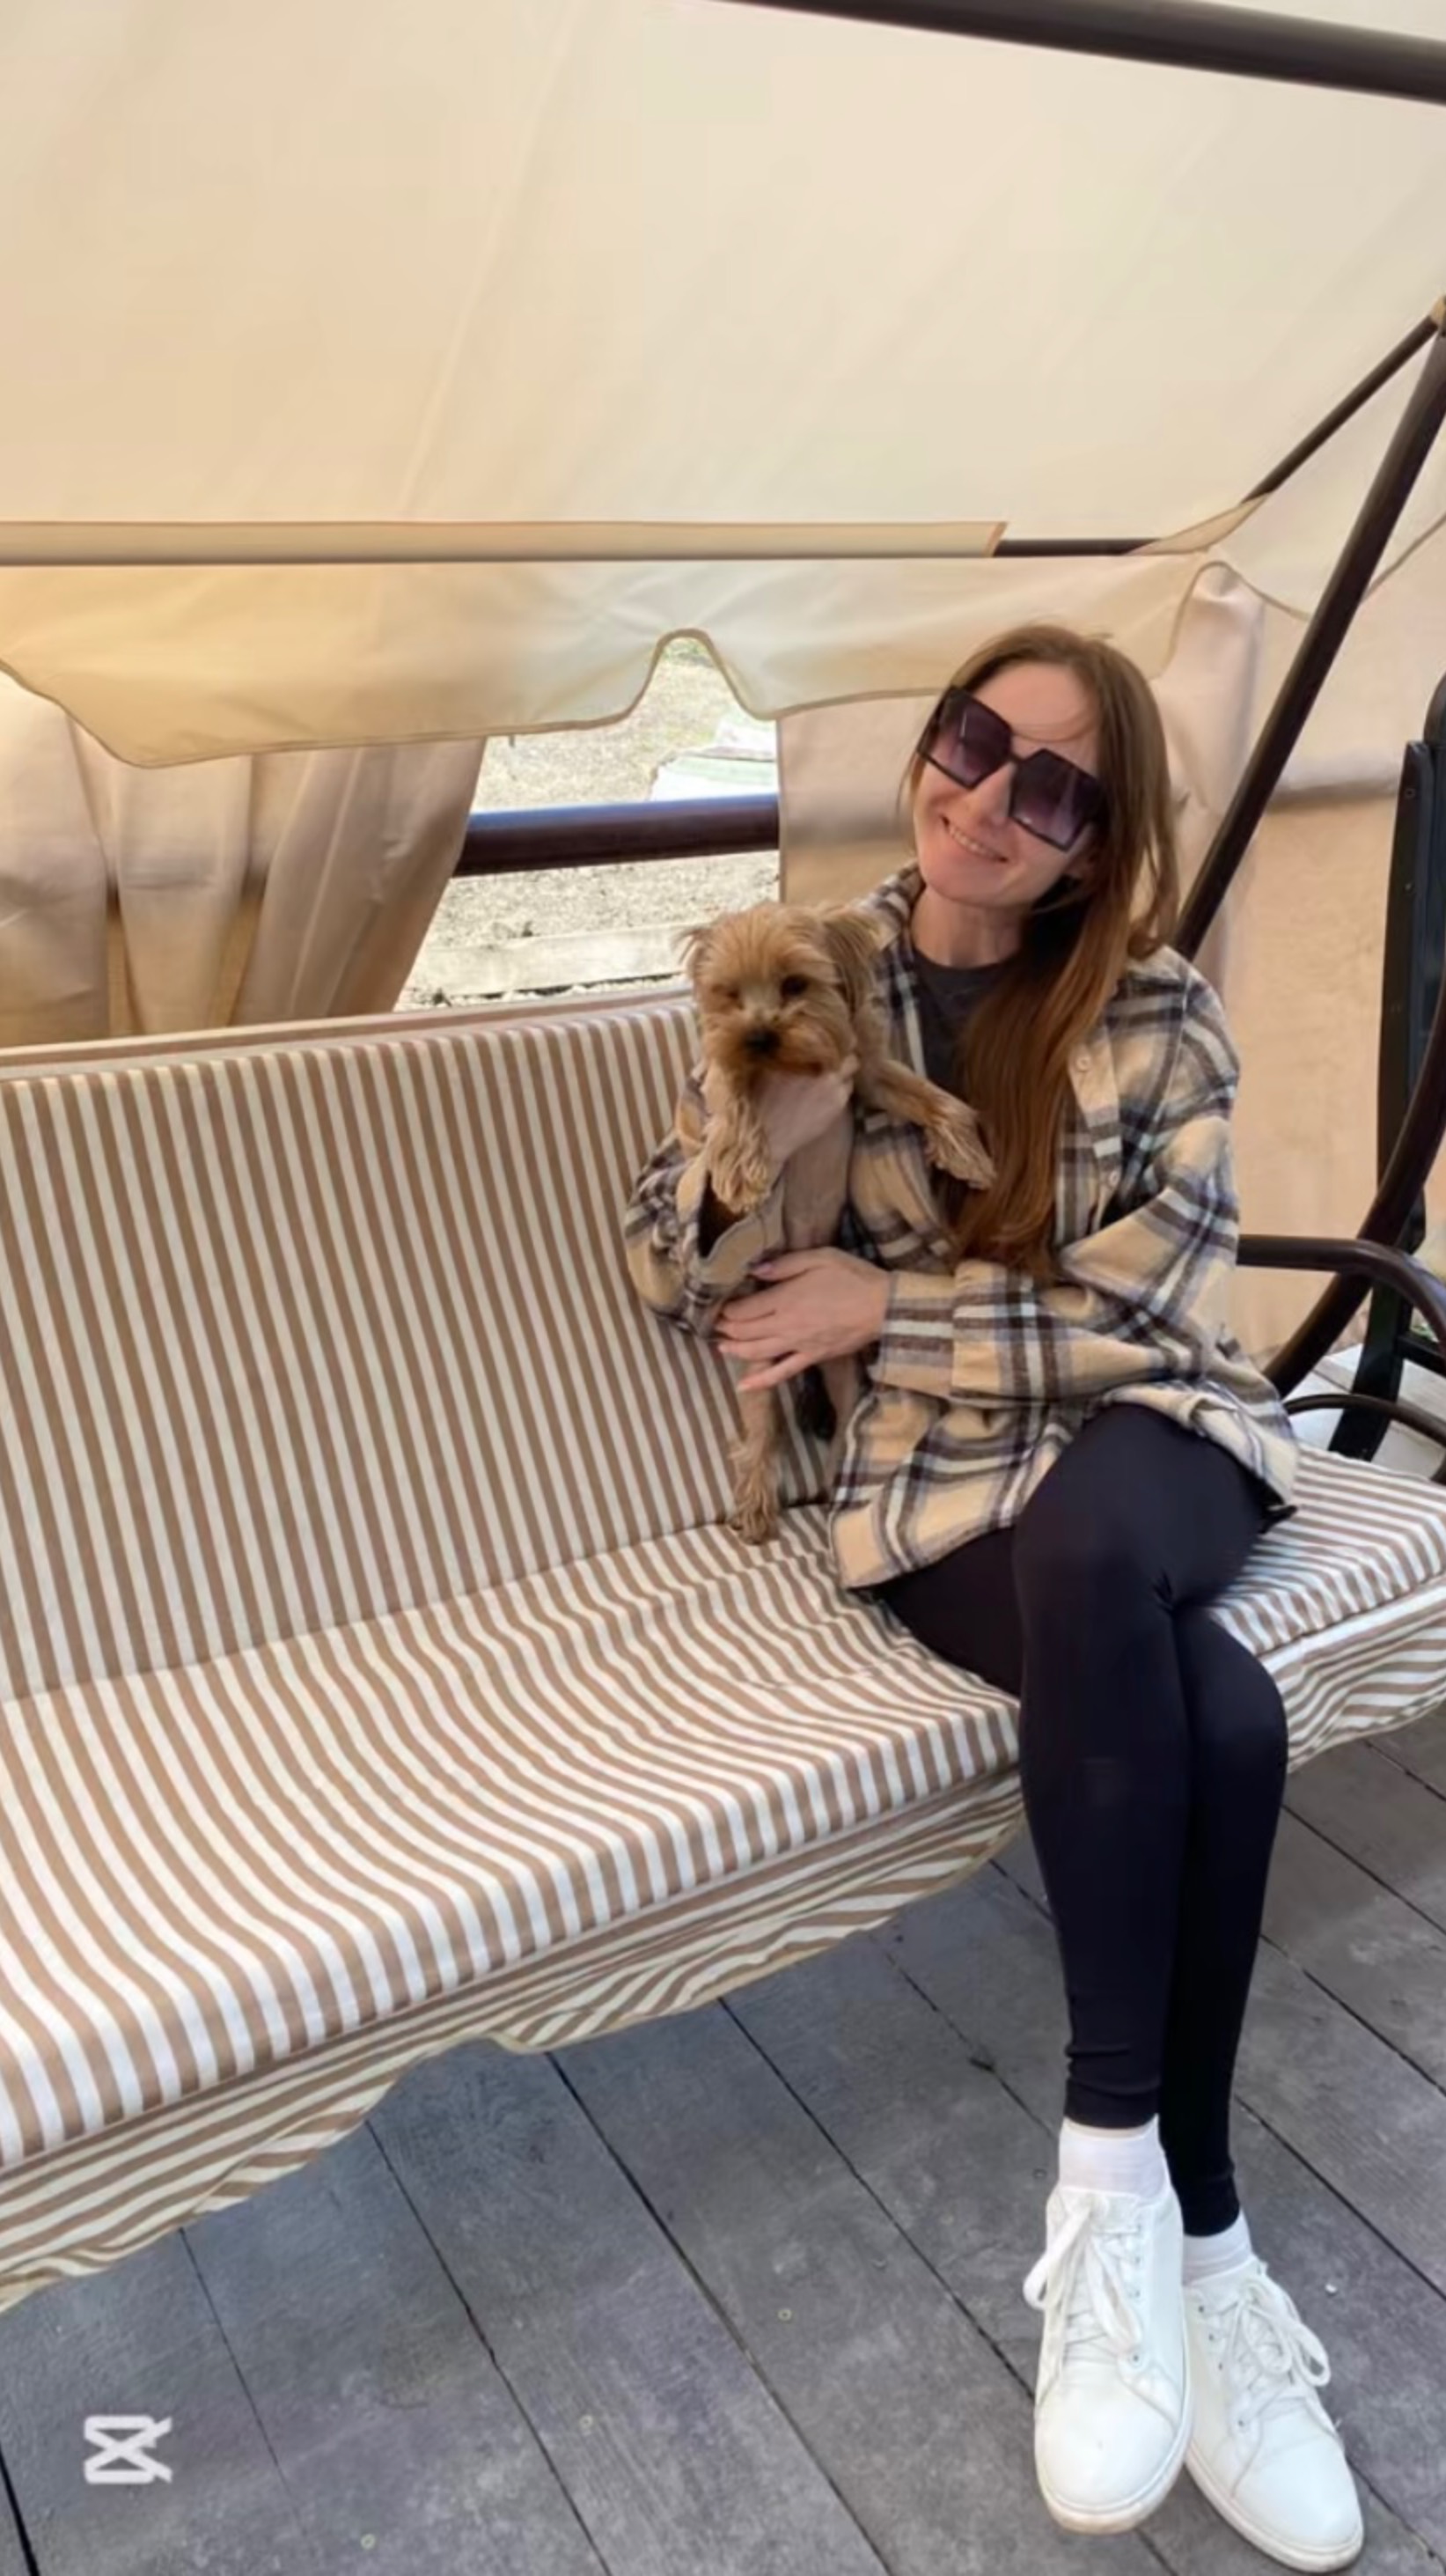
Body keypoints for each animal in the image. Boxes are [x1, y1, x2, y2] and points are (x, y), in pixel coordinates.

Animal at [679, 897, 993, 1546]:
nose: (758, 1035)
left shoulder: (865, 1071)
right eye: (728, 994)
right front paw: (742, 1168)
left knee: (847, 1422)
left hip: (841, 1370)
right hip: (759, 1367)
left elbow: (930, 1097)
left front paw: (966, 1153)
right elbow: (734, 1088)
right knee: (762, 1429)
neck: (793, 1065)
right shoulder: (727, 1068)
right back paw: (755, 1507)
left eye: (795, 983)